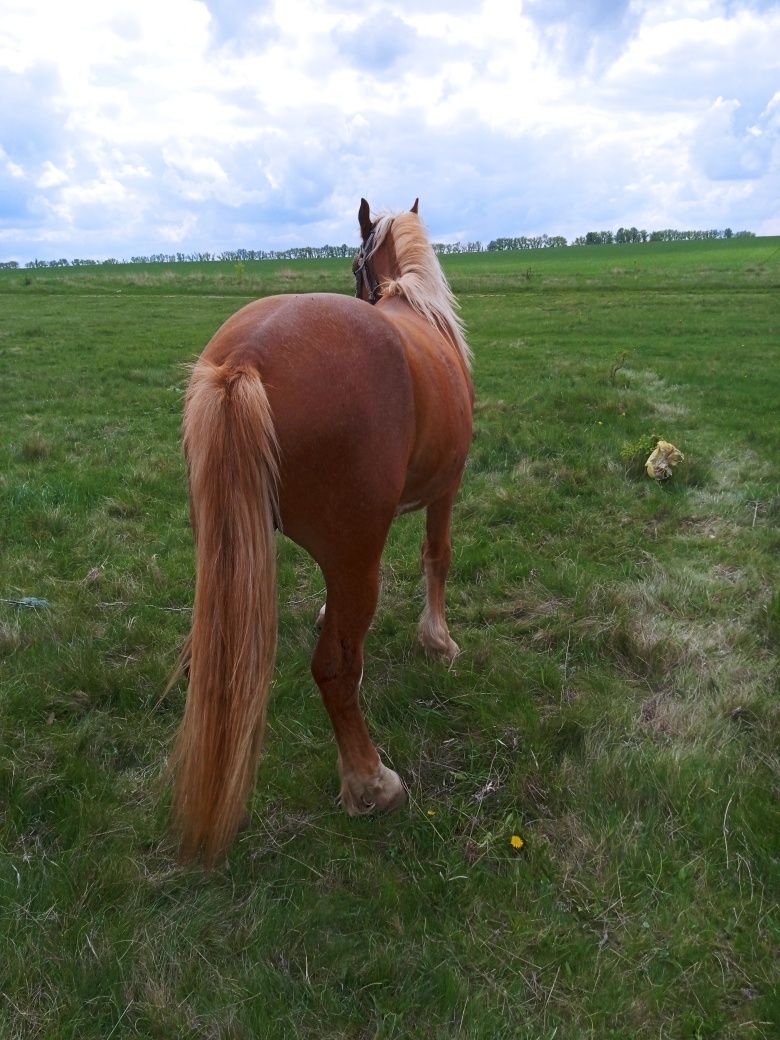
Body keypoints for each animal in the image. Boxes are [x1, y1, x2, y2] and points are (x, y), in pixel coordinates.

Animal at [171, 195, 474, 861]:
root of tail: (244, 358)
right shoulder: (446, 487)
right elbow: (437, 556)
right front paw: (438, 640)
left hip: (224, 547)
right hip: (358, 557)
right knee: (335, 670)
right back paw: (370, 781)